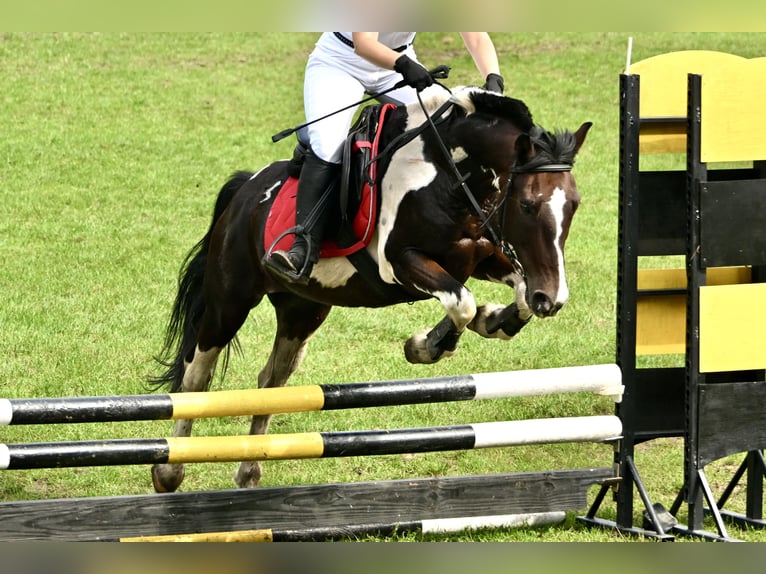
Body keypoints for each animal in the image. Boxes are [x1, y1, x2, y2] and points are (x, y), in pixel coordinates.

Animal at [149, 84, 592, 492]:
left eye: (574, 204)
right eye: (528, 205)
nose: (553, 299)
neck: (449, 174)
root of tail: (244, 192)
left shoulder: (482, 258)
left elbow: (510, 294)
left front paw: (494, 320)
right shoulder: (400, 264)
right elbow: (461, 302)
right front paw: (428, 346)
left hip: (302, 309)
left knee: (271, 380)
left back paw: (249, 472)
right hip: (231, 299)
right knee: (197, 377)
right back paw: (169, 472)